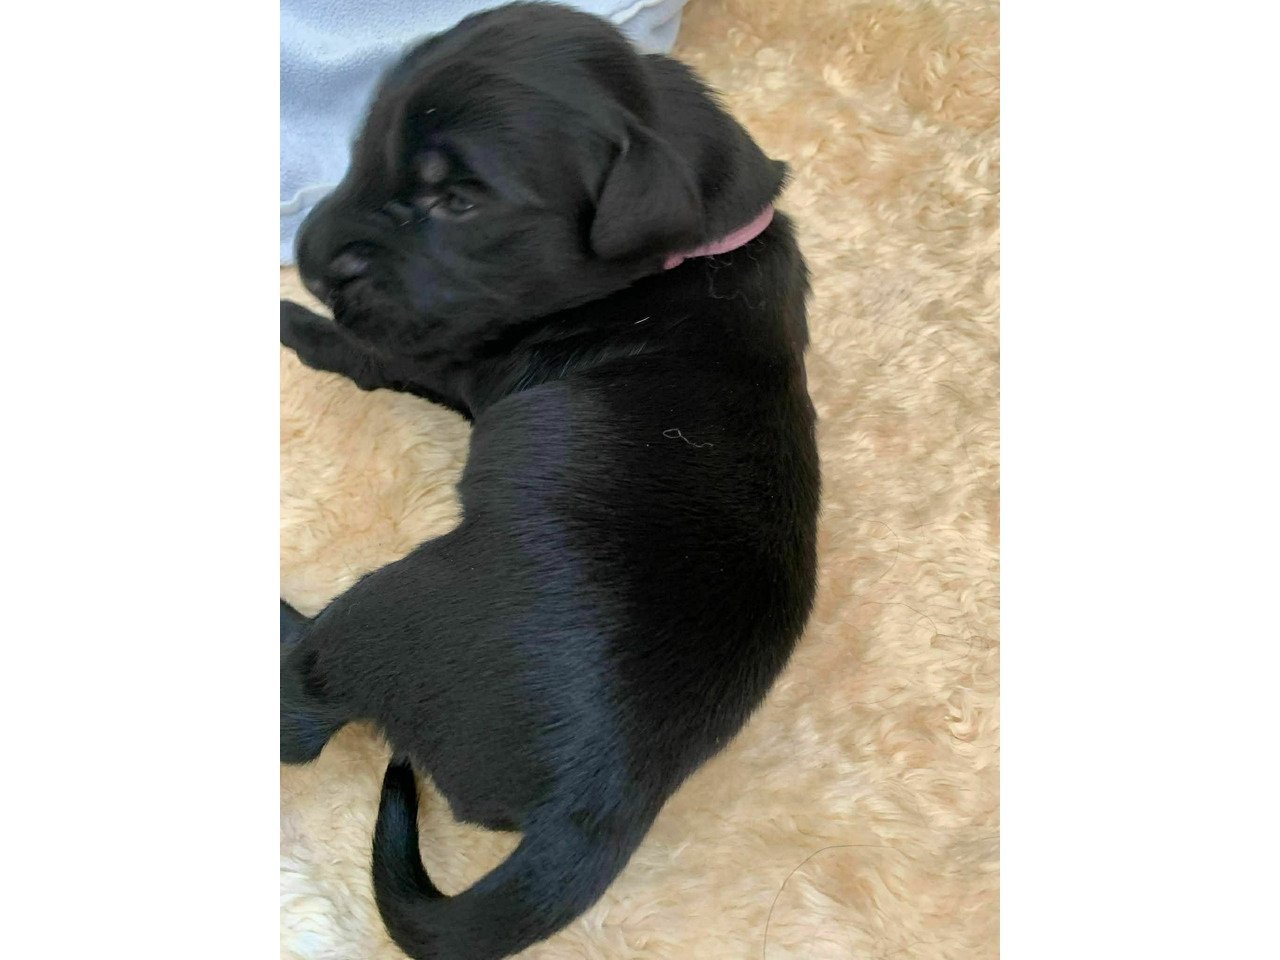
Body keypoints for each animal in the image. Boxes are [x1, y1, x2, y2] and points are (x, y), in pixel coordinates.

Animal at [280, 4, 819, 958]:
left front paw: (285, 319)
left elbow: (357, 348)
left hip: (392, 613)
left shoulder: (443, 349)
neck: (686, 262)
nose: (305, 258)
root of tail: (597, 812)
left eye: (458, 202)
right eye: (361, 144)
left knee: (302, 710)